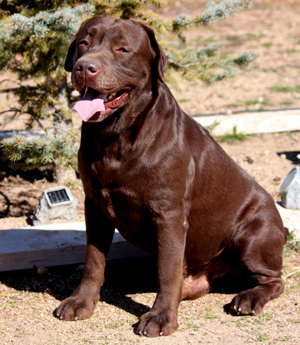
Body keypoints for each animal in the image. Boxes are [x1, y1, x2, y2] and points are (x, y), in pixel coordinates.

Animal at [55, 15, 286, 336]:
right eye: (83, 43)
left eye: (122, 49)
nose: (85, 67)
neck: (116, 137)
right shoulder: (95, 205)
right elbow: (93, 260)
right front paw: (81, 302)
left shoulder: (169, 213)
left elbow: (167, 269)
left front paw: (161, 316)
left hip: (252, 237)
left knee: (274, 279)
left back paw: (249, 298)